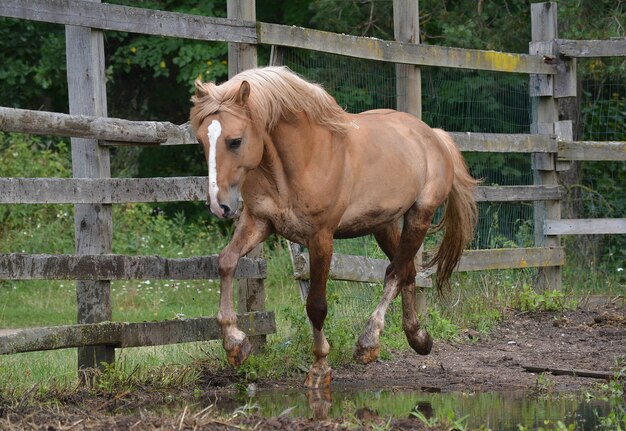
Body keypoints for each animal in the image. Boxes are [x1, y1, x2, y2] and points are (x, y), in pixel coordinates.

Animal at [188, 65, 476, 392]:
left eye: (235, 141)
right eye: (201, 141)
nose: (218, 206)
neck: (299, 162)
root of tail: (433, 135)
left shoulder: (321, 238)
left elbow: (316, 305)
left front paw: (319, 369)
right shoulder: (259, 223)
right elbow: (226, 261)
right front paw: (236, 345)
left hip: (419, 216)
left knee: (397, 273)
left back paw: (368, 342)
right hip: (384, 223)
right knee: (408, 273)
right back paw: (419, 338)